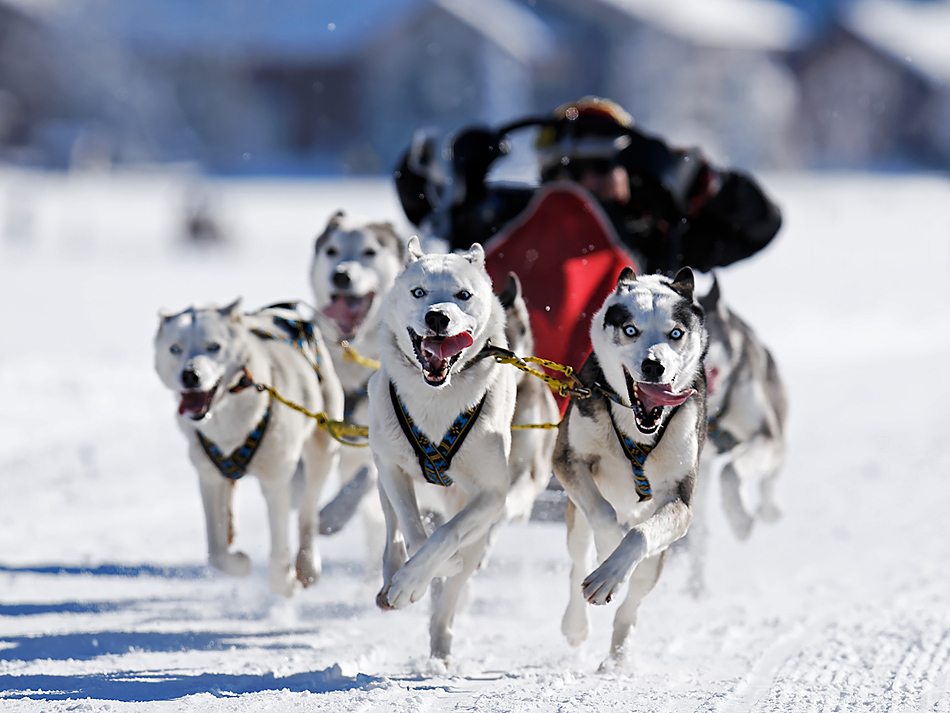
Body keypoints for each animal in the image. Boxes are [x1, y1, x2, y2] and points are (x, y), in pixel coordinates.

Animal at [156, 300, 346, 596]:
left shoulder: (276, 478)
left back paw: (306, 565)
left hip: (322, 451)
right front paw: (238, 563)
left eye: (214, 346)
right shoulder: (208, 476)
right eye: (175, 348)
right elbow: (215, 552)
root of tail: (288, 311)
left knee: (307, 513)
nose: (189, 375)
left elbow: (281, 541)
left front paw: (285, 582)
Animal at [368, 236, 516, 660]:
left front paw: (417, 579)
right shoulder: (391, 466)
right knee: (393, 531)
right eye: (418, 292)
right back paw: (394, 577)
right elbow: (414, 530)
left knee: (452, 591)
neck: (437, 398)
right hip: (381, 469)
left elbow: (446, 536)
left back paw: (440, 644)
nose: (437, 318)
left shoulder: (492, 494)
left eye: (463, 295)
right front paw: (409, 579)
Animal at [552, 266, 708, 668]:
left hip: (656, 558)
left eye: (675, 333)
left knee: (634, 598)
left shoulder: (681, 502)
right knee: (578, 561)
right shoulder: (569, 460)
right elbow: (606, 517)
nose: (654, 365)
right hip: (576, 519)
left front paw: (612, 572)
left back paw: (618, 658)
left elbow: (637, 536)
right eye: (631, 330)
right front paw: (608, 555)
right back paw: (576, 623)